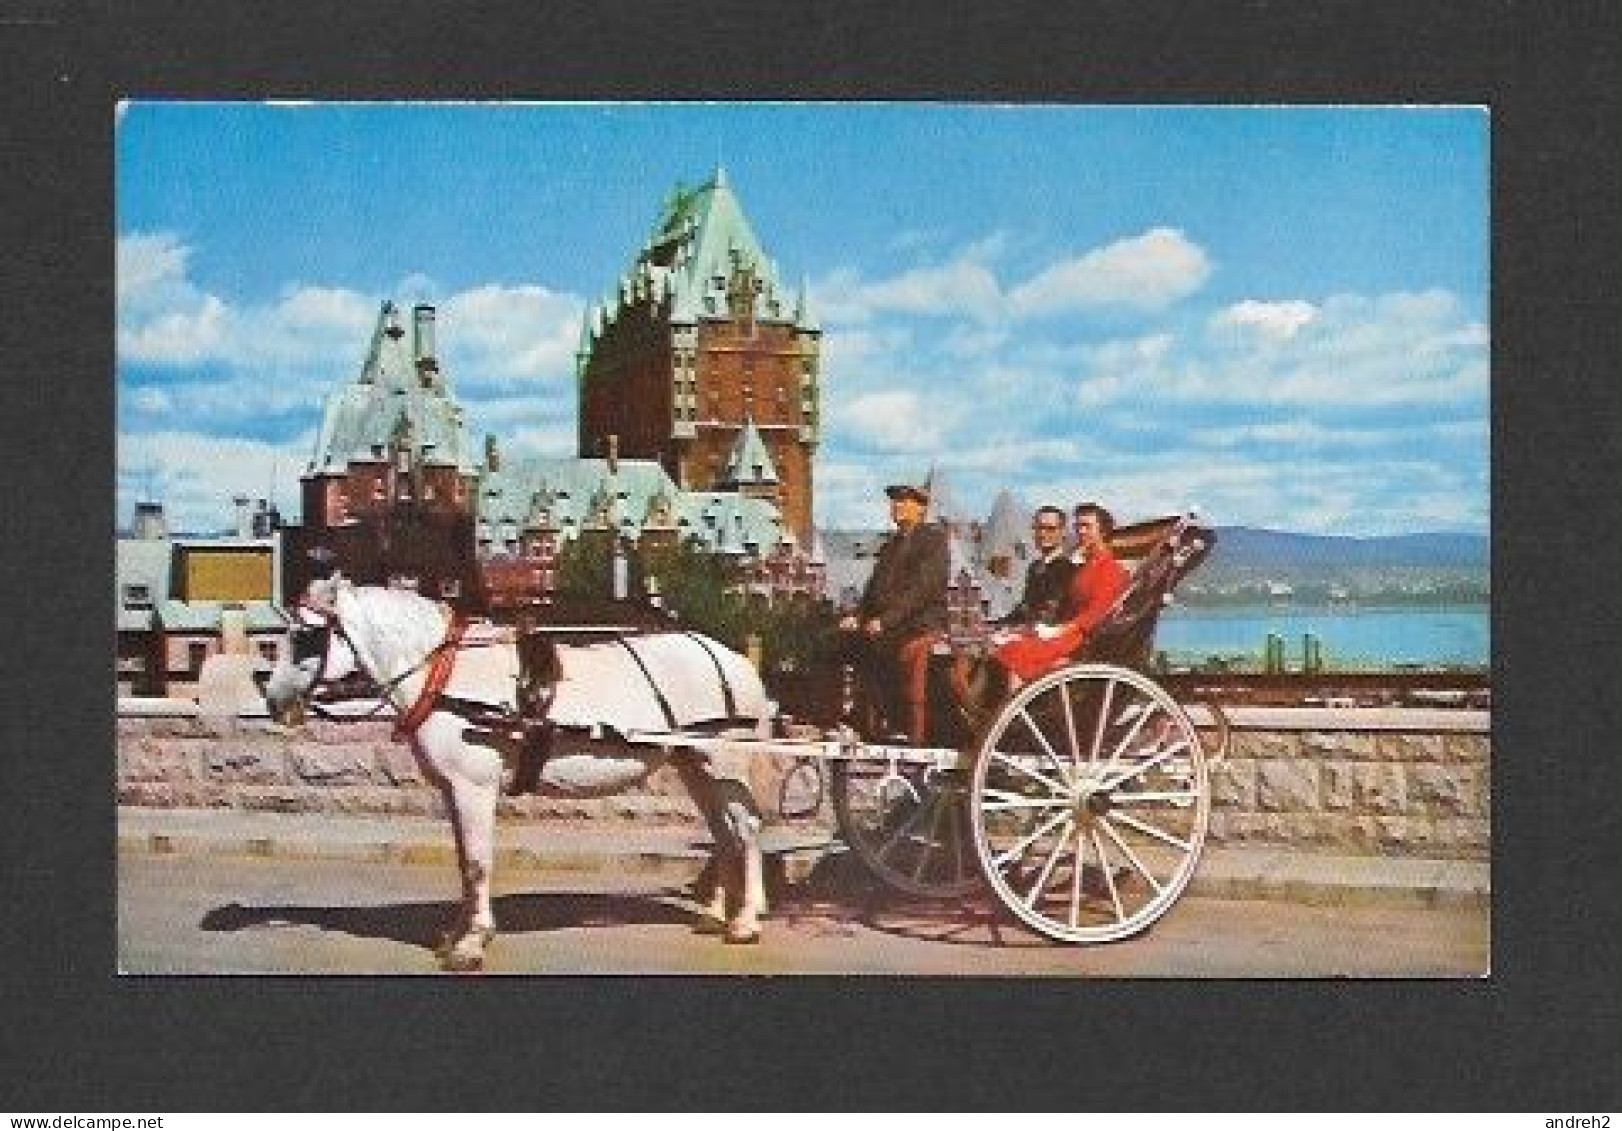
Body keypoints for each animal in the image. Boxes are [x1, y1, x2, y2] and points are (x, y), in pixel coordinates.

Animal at [264, 574, 772, 973]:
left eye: (307, 635)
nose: (271, 699)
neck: (445, 675)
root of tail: (738, 662)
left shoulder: (474, 787)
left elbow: (477, 862)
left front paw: (471, 944)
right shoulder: (453, 790)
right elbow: (464, 862)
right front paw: (458, 933)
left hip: (721, 762)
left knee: (744, 829)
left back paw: (745, 922)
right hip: (694, 764)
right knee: (723, 831)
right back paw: (714, 915)